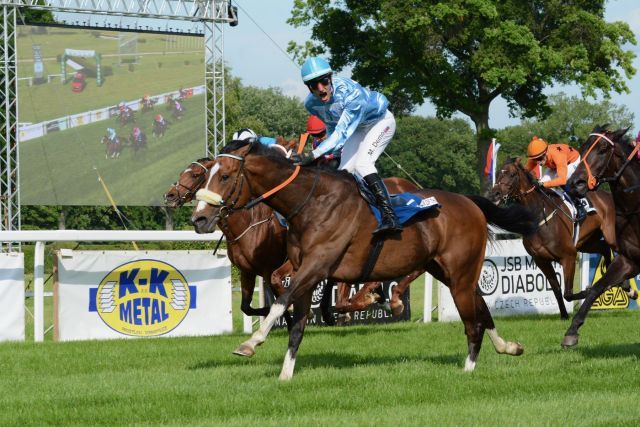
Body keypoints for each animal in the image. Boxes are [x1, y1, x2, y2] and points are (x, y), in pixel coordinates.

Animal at [192, 141, 536, 382]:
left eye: (225, 176)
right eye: (204, 177)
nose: (199, 218)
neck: (310, 203)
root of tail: (469, 202)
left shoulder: (315, 266)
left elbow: (281, 302)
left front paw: (251, 342)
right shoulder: (306, 271)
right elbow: (297, 323)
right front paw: (285, 374)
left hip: (460, 274)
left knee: (472, 322)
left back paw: (468, 368)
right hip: (448, 272)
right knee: (482, 309)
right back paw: (508, 347)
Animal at [488, 156, 616, 318]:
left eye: (511, 175)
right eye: (498, 173)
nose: (494, 194)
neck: (539, 216)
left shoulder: (569, 256)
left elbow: (568, 293)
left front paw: (588, 291)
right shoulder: (541, 260)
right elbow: (557, 289)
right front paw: (564, 315)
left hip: (611, 236)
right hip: (587, 242)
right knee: (605, 248)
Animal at [564, 125, 640, 350]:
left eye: (604, 149)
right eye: (582, 148)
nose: (575, 183)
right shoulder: (628, 260)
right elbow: (596, 288)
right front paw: (571, 332)